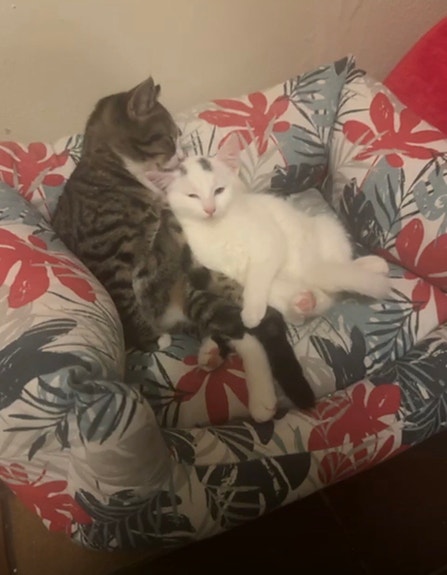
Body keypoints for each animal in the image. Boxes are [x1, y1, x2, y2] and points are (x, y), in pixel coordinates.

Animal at [51, 76, 315, 423]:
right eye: (168, 137)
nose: (179, 158)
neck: (115, 168)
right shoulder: (108, 258)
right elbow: (126, 300)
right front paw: (149, 339)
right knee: (244, 333)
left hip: (198, 297)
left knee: (251, 330)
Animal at [147, 136, 391, 329]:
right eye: (192, 196)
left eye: (219, 190)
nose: (210, 209)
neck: (219, 228)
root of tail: (311, 269)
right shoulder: (218, 265)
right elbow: (254, 281)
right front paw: (258, 309)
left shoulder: (270, 242)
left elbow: (259, 275)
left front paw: (252, 311)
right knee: (321, 294)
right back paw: (301, 306)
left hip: (326, 228)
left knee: (339, 266)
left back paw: (371, 265)